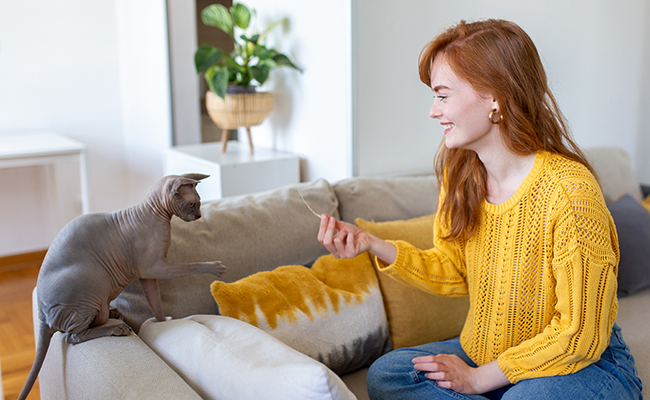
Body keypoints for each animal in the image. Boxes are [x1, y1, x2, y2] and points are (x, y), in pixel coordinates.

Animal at [18, 173, 225, 400]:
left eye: (199, 203)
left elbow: (156, 304)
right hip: (93, 282)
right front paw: (215, 267)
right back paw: (117, 328)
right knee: (72, 335)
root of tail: (43, 316)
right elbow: (192, 266)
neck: (153, 214)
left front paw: (161, 322)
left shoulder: (147, 274)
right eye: (192, 203)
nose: (198, 215)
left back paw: (114, 313)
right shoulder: (155, 267)